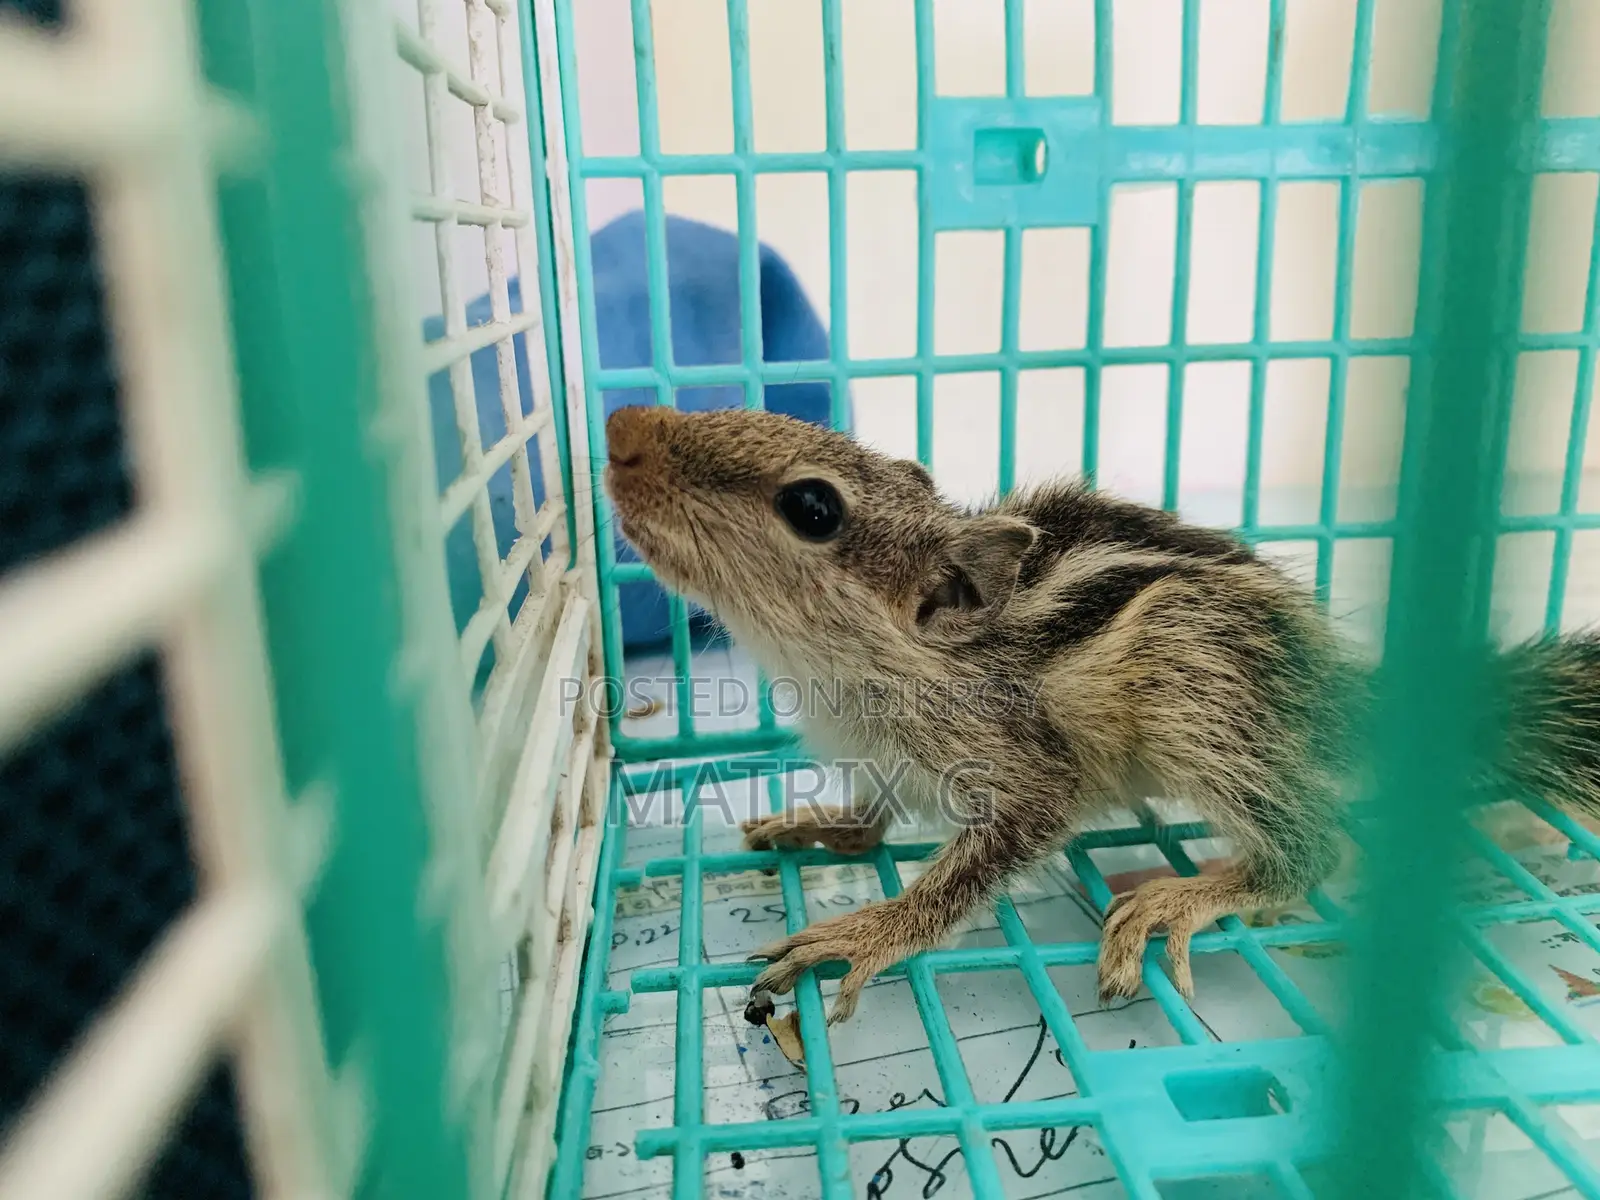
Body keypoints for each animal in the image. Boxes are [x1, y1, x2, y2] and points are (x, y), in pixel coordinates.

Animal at [603, 403, 1600, 1022]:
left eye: (811, 505)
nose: (619, 427)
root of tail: (1332, 683)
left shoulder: (1023, 767)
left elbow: (972, 866)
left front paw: (867, 931)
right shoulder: (875, 755)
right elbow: (869, 818)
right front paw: (813, 825)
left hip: (1193, 692)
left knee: (1314, 844)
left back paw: (1185, 896)